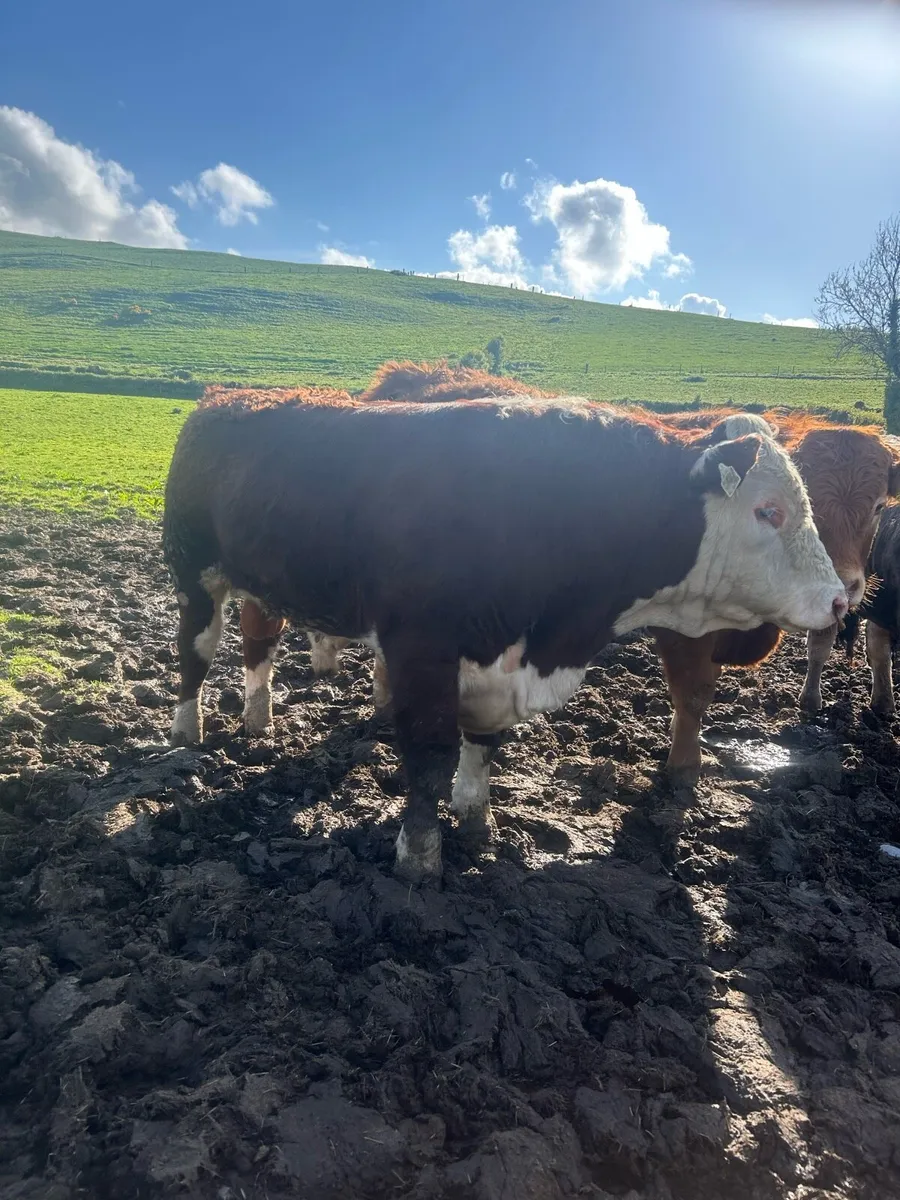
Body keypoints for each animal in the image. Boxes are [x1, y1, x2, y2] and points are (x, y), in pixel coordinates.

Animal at [162, 390, 847, 882]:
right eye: (769, 511)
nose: (840, 599)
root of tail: (229, 397)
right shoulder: (422, 647)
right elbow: (429, 753)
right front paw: (419, 858)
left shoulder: (497, 663)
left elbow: (482, 743)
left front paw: (475, 816)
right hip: (193, 572)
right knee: (195, 652)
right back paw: (187, 731)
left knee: (258, 643)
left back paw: (258, 720)